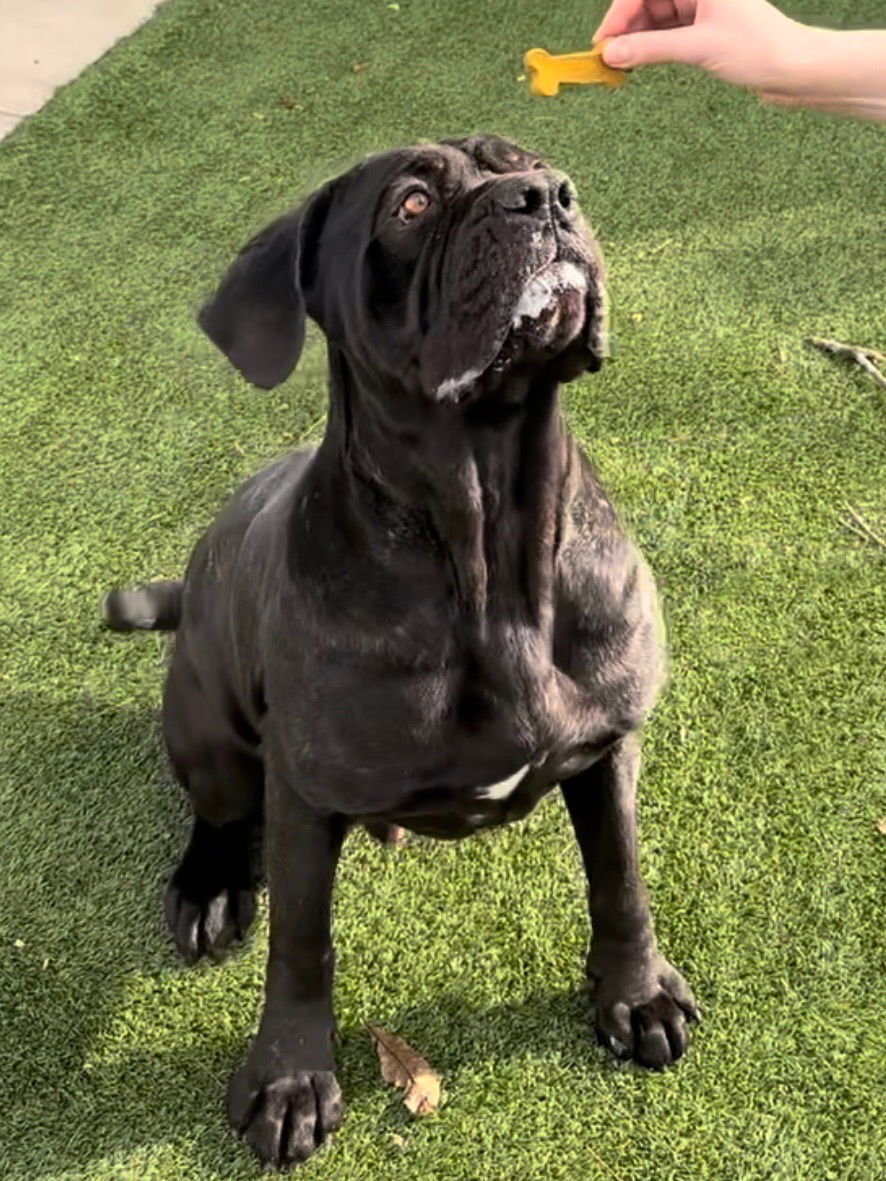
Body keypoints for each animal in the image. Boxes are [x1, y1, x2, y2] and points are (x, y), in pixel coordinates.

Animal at [105, 135, 699, 1171]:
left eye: (532, 161)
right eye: (411, 204)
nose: (545, 196)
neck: (490, 532)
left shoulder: (609, 745)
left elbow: (620, 874)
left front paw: (638, 992)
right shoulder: (304, 796)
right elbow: (302, 944)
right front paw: (290, 1078)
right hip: (208, 726)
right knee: (218, 812)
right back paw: (211, 887)